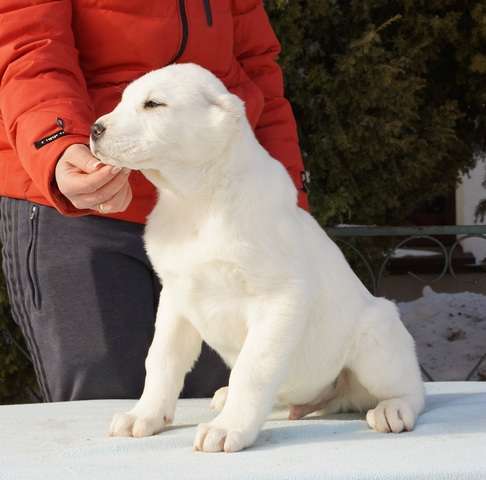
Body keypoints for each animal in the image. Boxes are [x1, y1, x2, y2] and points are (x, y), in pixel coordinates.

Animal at [89, 63, 424, 454]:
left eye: (154, 104)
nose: (95, 129)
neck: (198, 202)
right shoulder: (176, 299)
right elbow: (161, 359)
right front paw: (145, 415)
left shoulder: (279, 299)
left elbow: (253, 370)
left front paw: (228, 428)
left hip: (376, 337)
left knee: (411, 389)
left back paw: (393, 409)